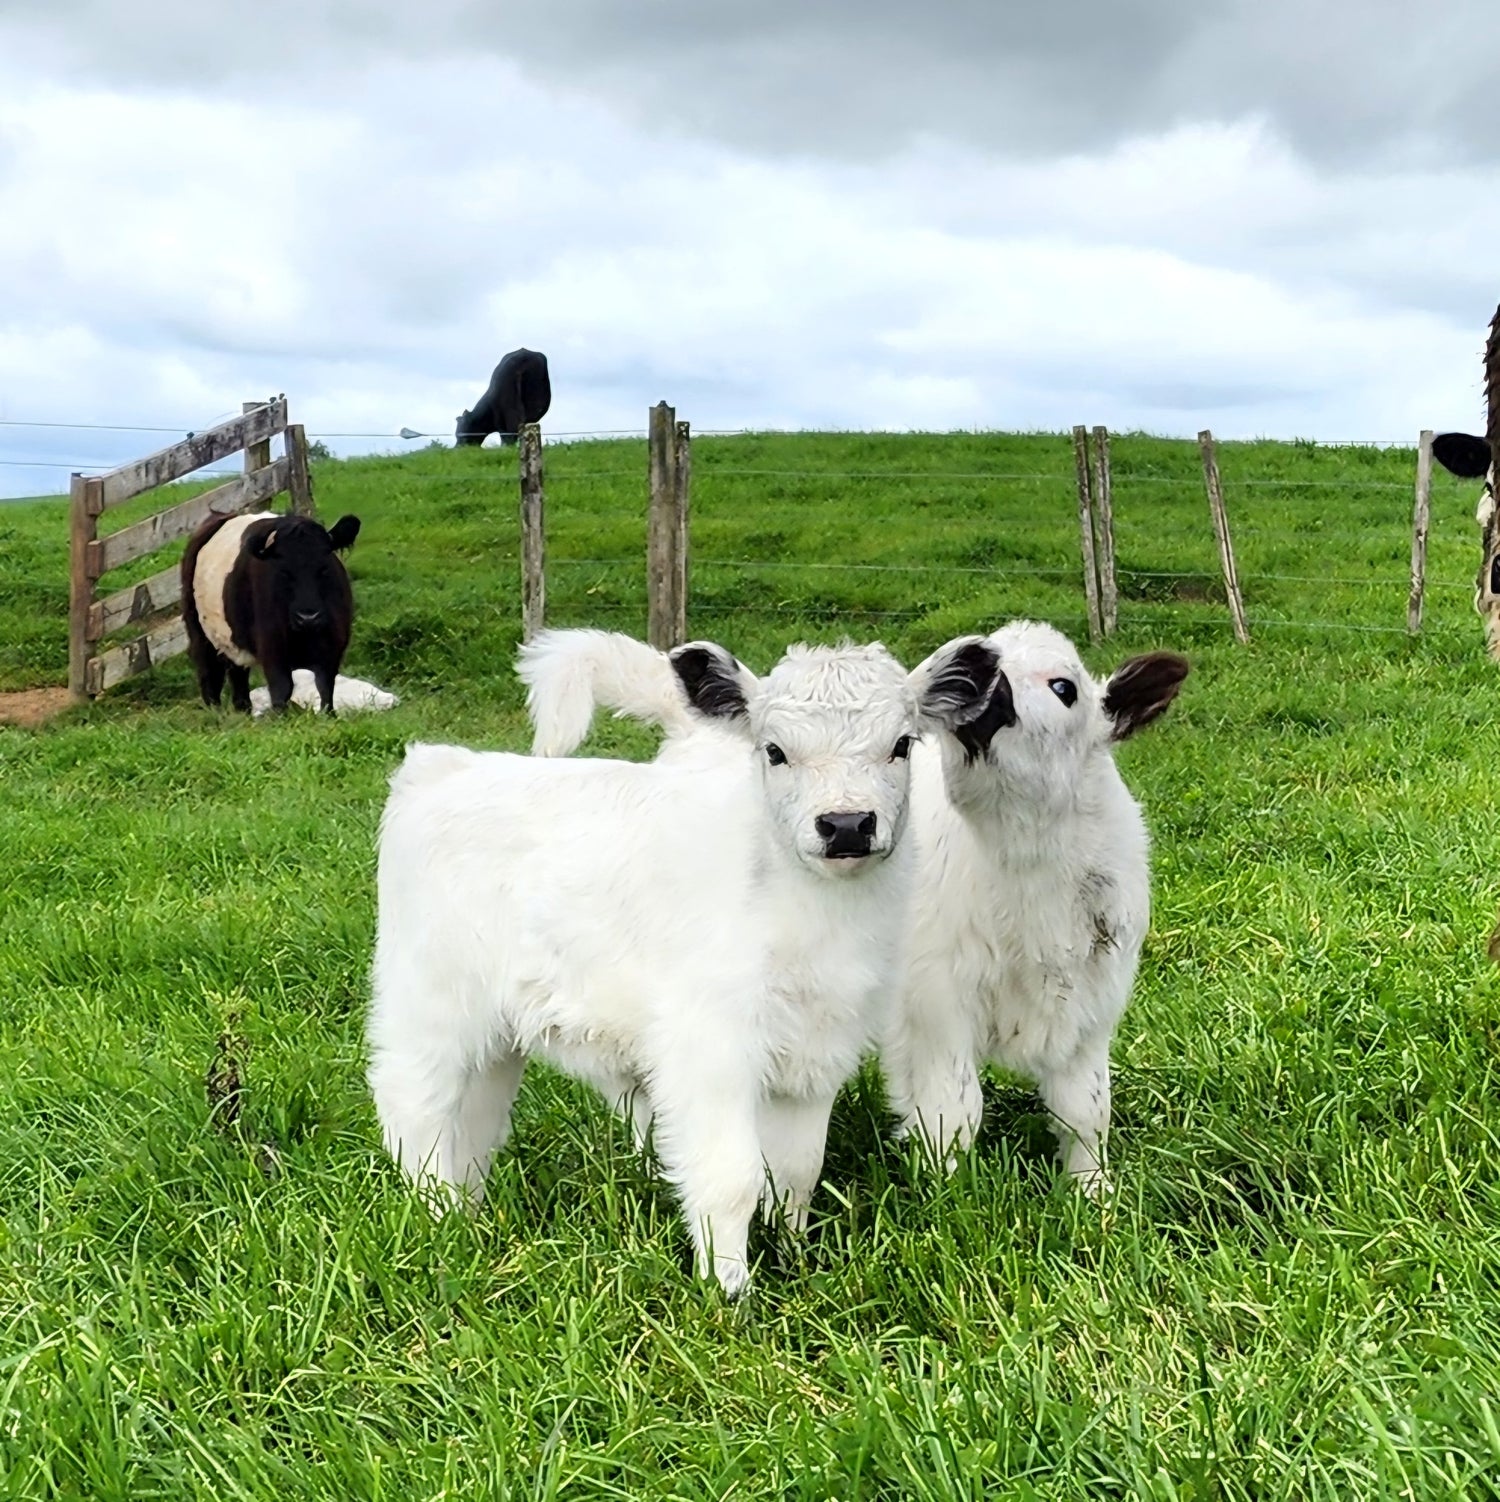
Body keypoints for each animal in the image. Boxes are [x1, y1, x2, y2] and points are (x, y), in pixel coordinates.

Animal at [182, 507, 363, 711]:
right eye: (283, 572)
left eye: (324, 568)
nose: (308, 617)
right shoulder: (272, 648)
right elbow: (282, 688)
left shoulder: (333, 647)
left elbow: (326, 687)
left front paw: (329, 714)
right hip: (200, 635)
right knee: (210, 675)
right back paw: (216, 712)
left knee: (238, 675)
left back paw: (243, 709)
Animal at [366, 627, 996, 1297]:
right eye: (774, 752)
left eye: (901, 745)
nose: (847, 824)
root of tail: (442, 765)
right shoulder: (709, 1047)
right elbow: (731, 1178)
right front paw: (730, 1293)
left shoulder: (820, 1050)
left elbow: (799, 1168)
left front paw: (797, 1259)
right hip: (429, 1001)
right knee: (416, 1107)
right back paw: (437, 1226)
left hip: (499, 1030)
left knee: (477, 1120)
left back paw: (470, 1215)